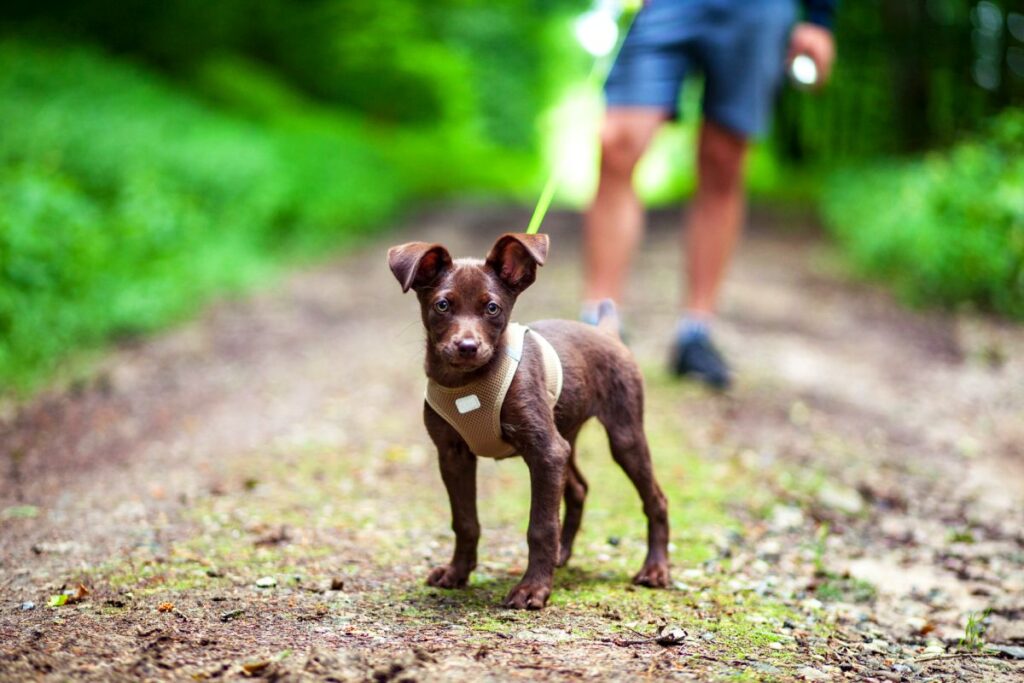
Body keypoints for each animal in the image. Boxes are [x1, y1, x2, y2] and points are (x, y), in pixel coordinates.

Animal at [387, 233, 667, 610]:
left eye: (493, 308)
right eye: (442, 305)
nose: (467, 346)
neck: (466, 383)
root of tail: (607, 334)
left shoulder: (544, 451)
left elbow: (541, 526)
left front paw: (533, 588)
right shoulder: (453, 455)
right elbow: (465, 520)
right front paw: (457, 572)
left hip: (623, 436)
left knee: (656, 499)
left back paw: (655, 570)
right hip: (565, 435)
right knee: (578, 488)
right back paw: (563, 555)